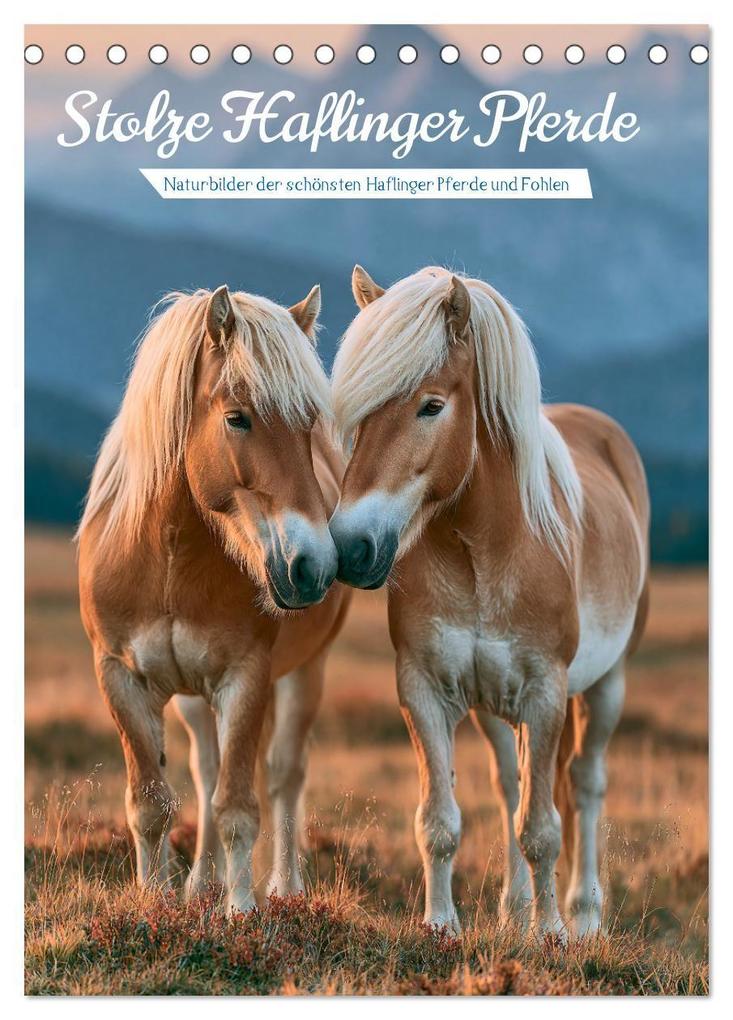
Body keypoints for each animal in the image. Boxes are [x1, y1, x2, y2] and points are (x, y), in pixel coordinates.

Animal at [77, 284, 350, 914]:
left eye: (308, 425)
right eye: (236, 418)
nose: (313, 566)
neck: (169, 559)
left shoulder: (247, 676)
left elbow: (238, 808)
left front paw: (242, 911)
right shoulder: (119, 675)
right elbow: (151, 802)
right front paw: (155, 900)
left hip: (306, 671)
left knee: (283, 773)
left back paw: (284, 887)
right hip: (192, 697)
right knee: (205, 770)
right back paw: (202, 883)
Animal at [329, 265, 649, 937]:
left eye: (431, 405)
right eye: (361, 413)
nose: (350, 546)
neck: (483, 550)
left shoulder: (546, 692)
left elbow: (543, 828)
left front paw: (551, 936)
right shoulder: (424, 688)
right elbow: (440, 820)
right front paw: (441, 925)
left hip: (605, 684)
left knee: (583, 785)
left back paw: (583, 916)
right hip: (494, 706)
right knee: (512, 783)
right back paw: (515, 909)